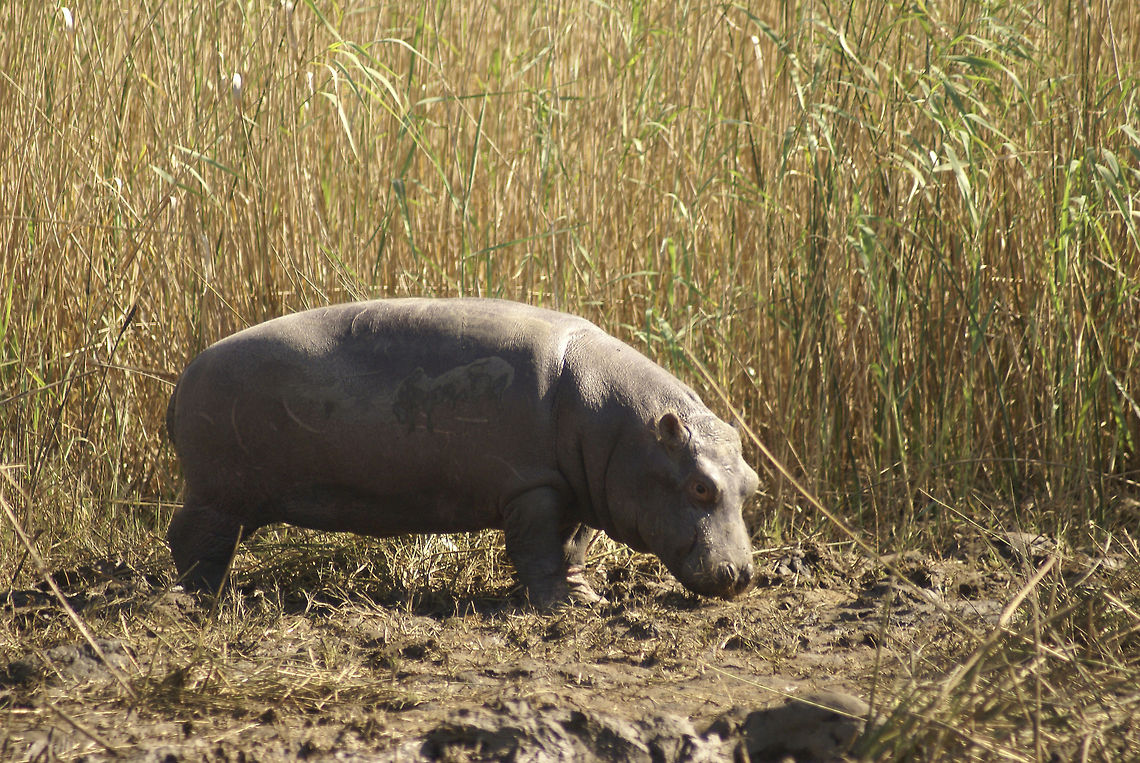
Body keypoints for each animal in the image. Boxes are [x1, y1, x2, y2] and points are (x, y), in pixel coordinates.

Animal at [165, 298, 758, 607]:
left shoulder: (578, 488)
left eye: (752, 484)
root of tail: (182, 378)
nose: (742, 575)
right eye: (700, 486)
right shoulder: (533, 486)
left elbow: (572, 548)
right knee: (191, 537)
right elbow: (538, 548)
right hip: (218, 492)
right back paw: (200, 599)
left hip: (235, 496)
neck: (626, 425)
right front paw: (558, 607)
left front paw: (586, 598)